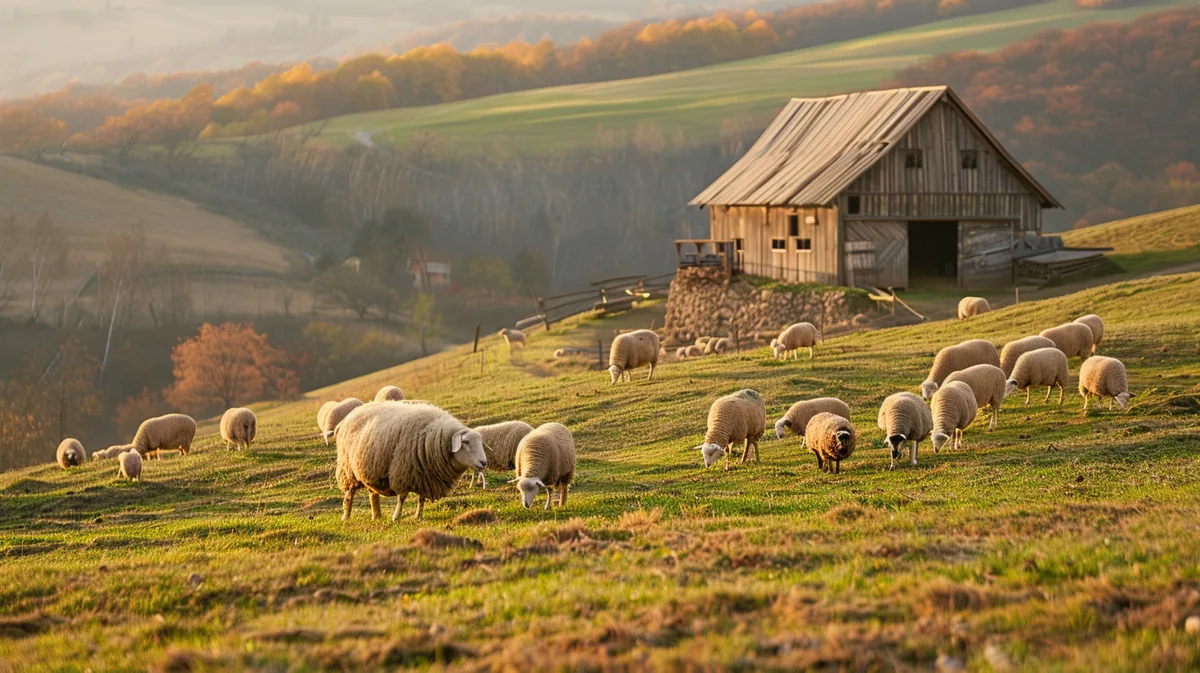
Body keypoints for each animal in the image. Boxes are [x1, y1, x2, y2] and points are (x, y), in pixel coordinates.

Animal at [336, 401, 487, 521]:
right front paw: (396, 517)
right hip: (347, 469)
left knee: (373, 494)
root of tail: (352, 413)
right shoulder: (403, 471)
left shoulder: (425, 476)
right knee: (349, 495)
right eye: (465, 442)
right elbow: (402, 497)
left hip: (370, 468)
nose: (484, 462)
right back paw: (346, 516)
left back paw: (376, 516)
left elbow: (421, 498)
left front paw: (418, 516)